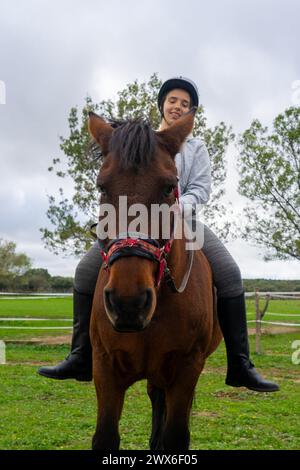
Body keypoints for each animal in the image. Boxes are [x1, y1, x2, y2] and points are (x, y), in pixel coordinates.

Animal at [88, 108, 221, 450]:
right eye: (102, 187)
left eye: (168, 187)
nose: (129, 303)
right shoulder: (104, 368)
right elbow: (105, 436)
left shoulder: (186, 370)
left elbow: (174, 437)